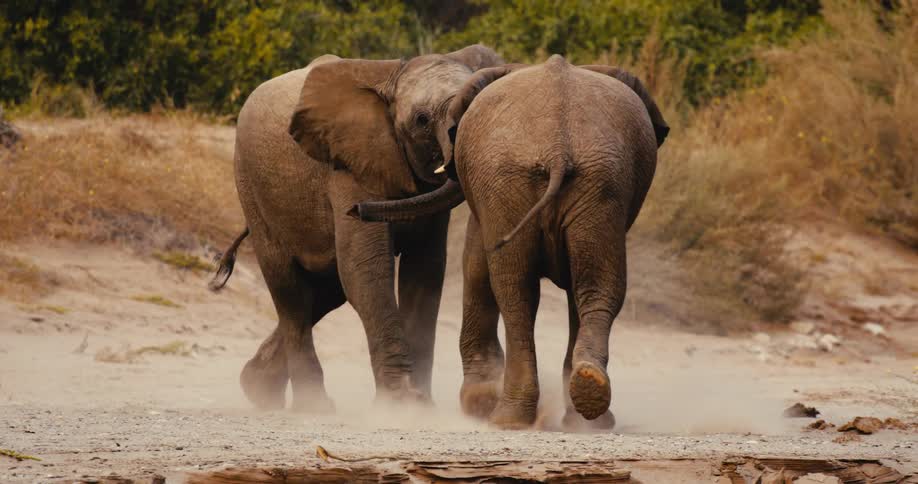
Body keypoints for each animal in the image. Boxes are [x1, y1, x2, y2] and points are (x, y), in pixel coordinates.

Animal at [208, 45, 504, 412]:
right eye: (422, 120)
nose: (357, 210)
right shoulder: (348, 166)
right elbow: (367, 268)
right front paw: (402, 403)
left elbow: (424, 273)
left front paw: (421, 404)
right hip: (252, 187)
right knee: (290, 289)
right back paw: (313, 407)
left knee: (326, 288)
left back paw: (257, 390)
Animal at [350, 55, 669, 429]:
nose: (355, 209)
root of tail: (558, 148)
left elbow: (475, 262)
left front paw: (478, 400)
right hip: (585, 183)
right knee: (583, 289)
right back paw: (582, 409)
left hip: (565, 180)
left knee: (524, 292)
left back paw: (512, 415)